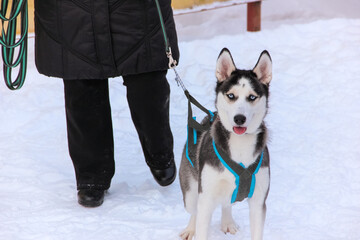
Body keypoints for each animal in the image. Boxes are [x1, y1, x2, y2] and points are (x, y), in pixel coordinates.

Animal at [179, 48, 272, 240]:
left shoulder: (259, 201)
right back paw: (191, 229)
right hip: (191, 192)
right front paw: (195, 230)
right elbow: (201, 223)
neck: (240, 147)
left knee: (226, 203)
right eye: (231, 96)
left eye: (252, 97)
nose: (239, 118)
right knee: (194, 211)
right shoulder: (206, 197)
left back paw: (227, 222)